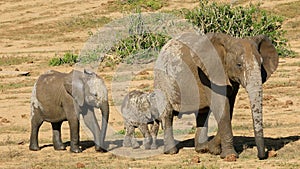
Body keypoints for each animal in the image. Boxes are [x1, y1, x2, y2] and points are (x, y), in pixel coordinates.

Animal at [155, 32, 278, 160]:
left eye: (261, 64)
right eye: (239, 65)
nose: (261, 156)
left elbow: (229, 108)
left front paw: (213, 149)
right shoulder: (207, 75)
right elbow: (222, 107)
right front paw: (229, 156)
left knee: (202, 113)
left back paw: (202, 149)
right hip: (162, 81)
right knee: (168, 114)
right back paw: (171, 152)